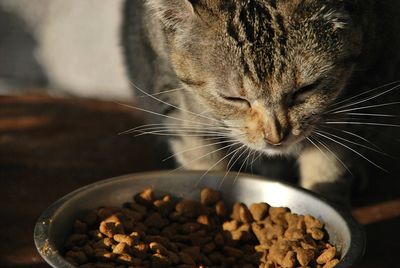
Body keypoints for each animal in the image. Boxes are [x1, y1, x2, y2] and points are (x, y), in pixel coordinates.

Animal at [121, 0, 400, 204]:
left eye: (306, 89)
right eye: (234, 98)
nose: (276, 136)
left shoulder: (362, 92)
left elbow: (328, 164)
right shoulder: (175, 105)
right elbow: (201, 160)